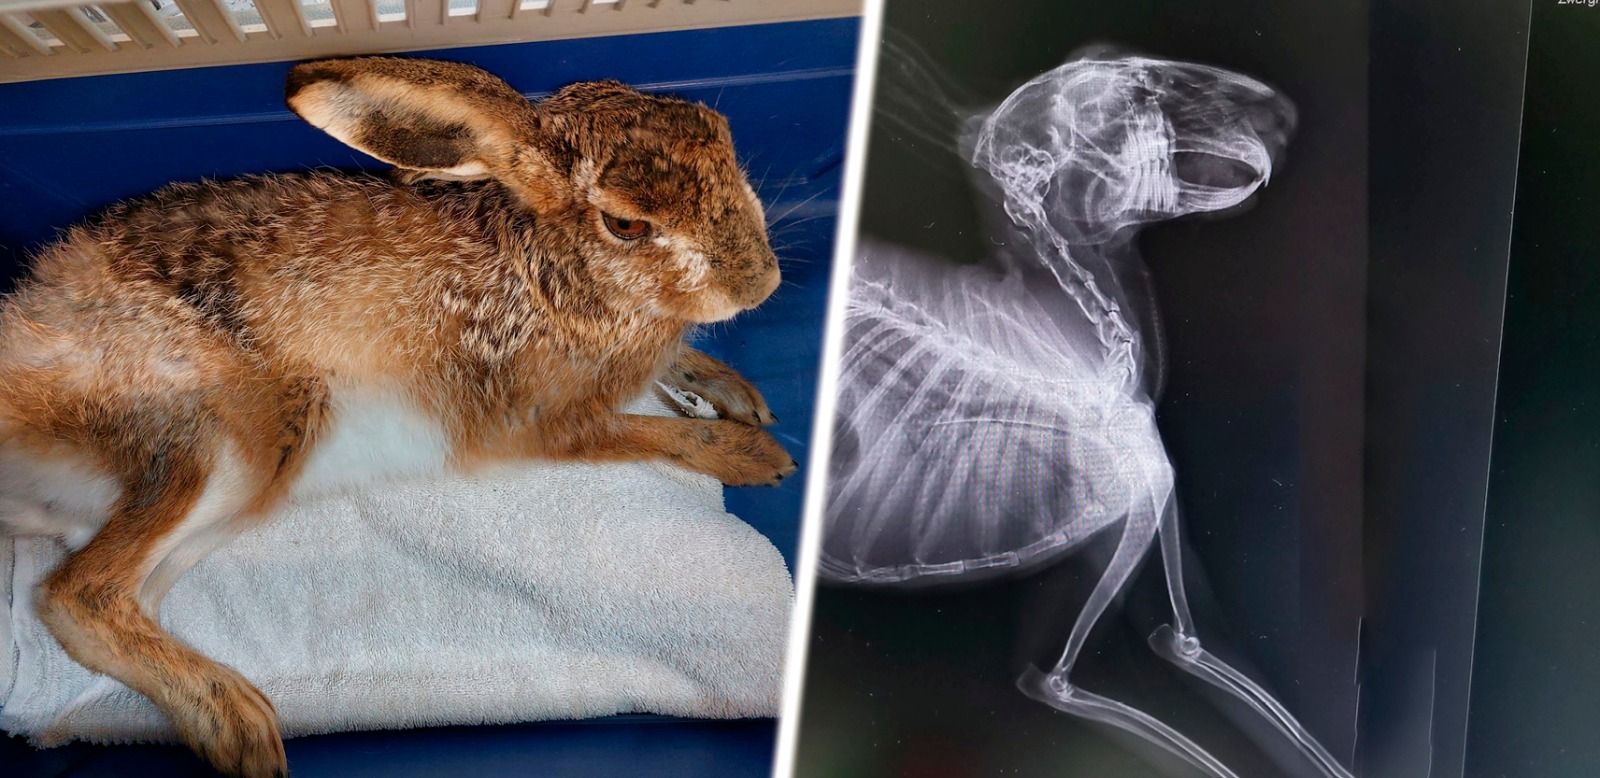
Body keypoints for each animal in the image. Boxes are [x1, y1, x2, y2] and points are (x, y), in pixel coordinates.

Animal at [0, 56, 795, 778]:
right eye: (625, 223)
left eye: (720, 134)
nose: (760, 282)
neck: (559, 268)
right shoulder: (550, 421)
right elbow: (659, 432)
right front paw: (756, 455)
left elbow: (678, 358)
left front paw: (740, 394)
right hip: (235, 445)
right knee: (78, 595)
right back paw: (237, 723)